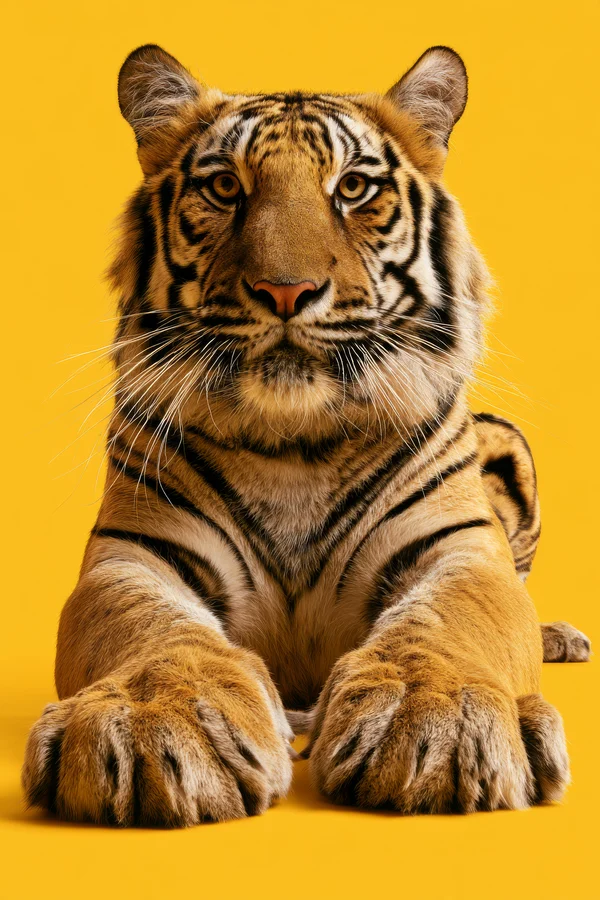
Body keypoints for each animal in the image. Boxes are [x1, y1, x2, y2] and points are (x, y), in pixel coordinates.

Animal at [22, 44, 591, 827]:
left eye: (353, 187)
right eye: (225, 187)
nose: (285, 291)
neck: (294, 443)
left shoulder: (461, 549)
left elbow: (452, 621)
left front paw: (435, 726)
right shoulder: (130, 557)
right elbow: (150, 631)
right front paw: (149, 730)